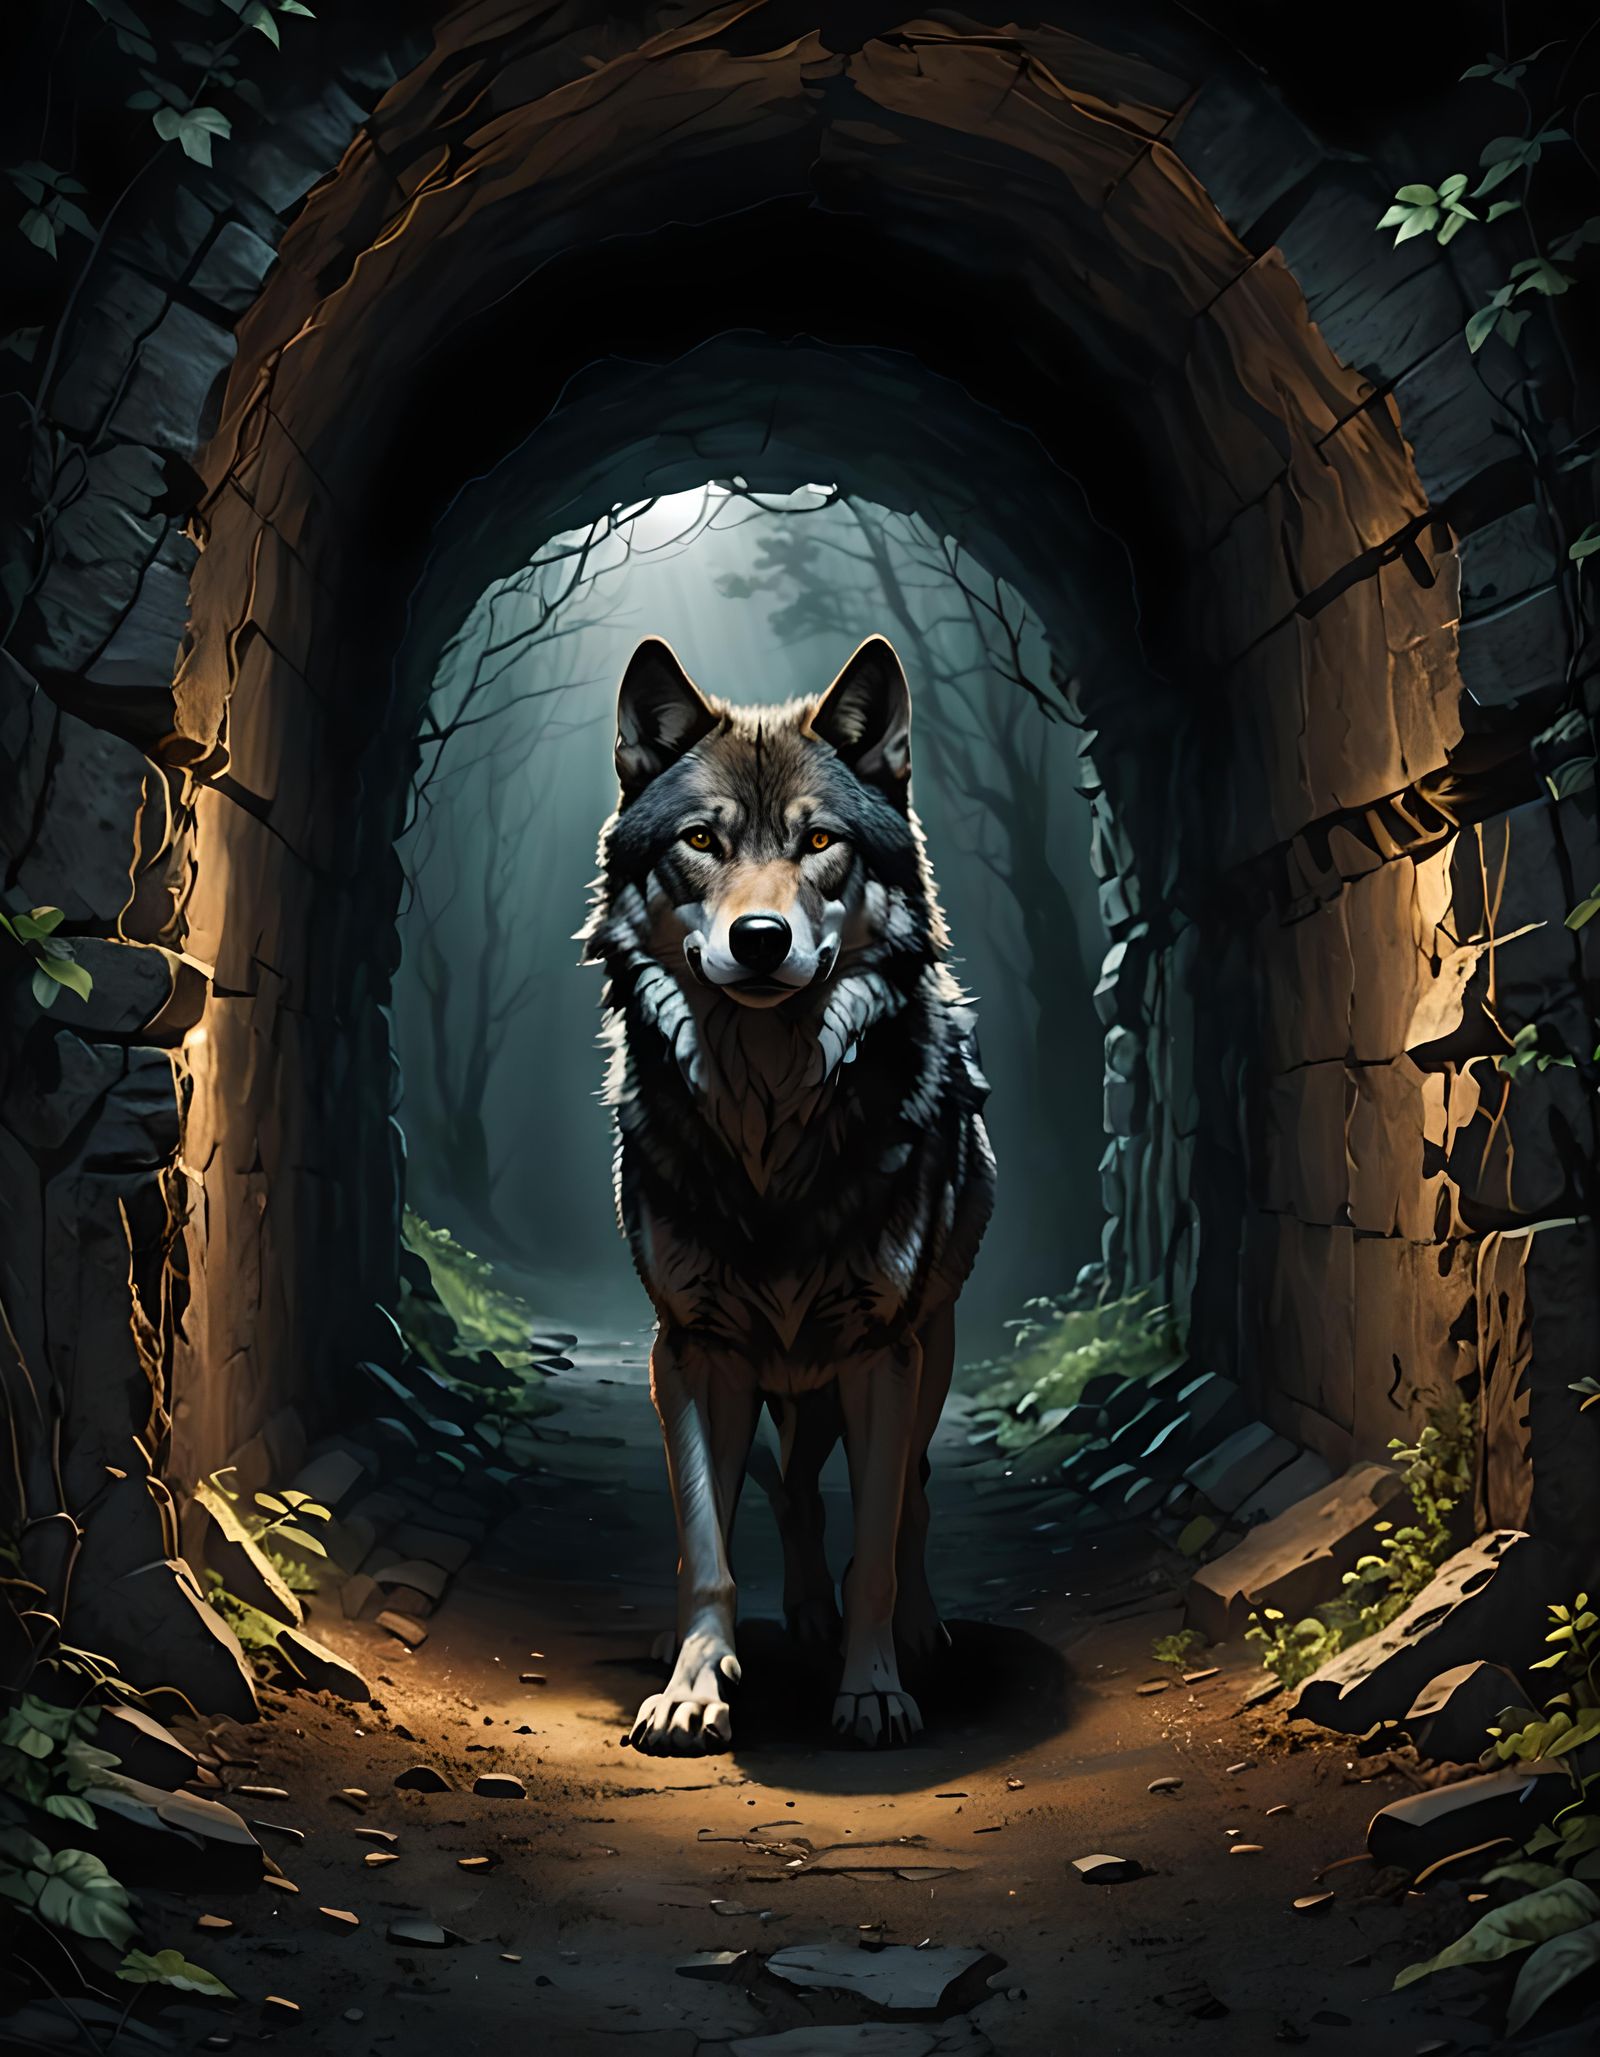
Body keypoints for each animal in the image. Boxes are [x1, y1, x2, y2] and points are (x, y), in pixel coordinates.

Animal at [582, 634, 995, 1751]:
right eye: (700, 840)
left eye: (817, 840)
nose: (760, 937)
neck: (769, 1130)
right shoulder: (688, 1349)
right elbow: (705, 1540)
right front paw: (693, 1683)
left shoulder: (880, 1353)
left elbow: (879, 1543)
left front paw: (872, 1688)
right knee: (785, 1497)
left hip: (918, 1354)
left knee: (908, 1503)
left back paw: (917, 1629)